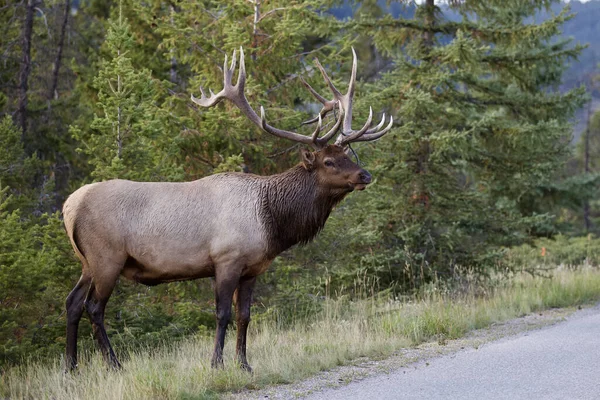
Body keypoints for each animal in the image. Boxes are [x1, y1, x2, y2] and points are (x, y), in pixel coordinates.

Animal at [63, 47, 394, 372]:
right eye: (328, 161)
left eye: (347, 154)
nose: (365, 175)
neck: (271, 221)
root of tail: (68, 208)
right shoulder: (226, 259)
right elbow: (222, 314)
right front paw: (216, 364)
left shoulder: (253, 268)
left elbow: (244, 315)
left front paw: (244, 364)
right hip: (107, 257)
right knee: (94, 307)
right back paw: (114, 364)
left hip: (87, 262)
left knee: (72, 302)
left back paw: (71, 366)